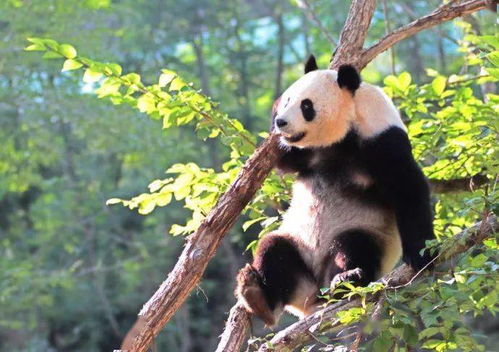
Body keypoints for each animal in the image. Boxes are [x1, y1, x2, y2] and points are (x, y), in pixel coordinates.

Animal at [236, 55, 436, 328]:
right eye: (287, 100)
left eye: (306, 106)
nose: (281, 122)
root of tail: (311, 300)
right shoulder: (305, 152)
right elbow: (285, 162)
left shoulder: (381, 138)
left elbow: (407, 189)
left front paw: (421, 254)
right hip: (297, 246)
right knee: (274, 249)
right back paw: (257, 296)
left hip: (368, 232)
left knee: (354, 244)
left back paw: (345, 280)